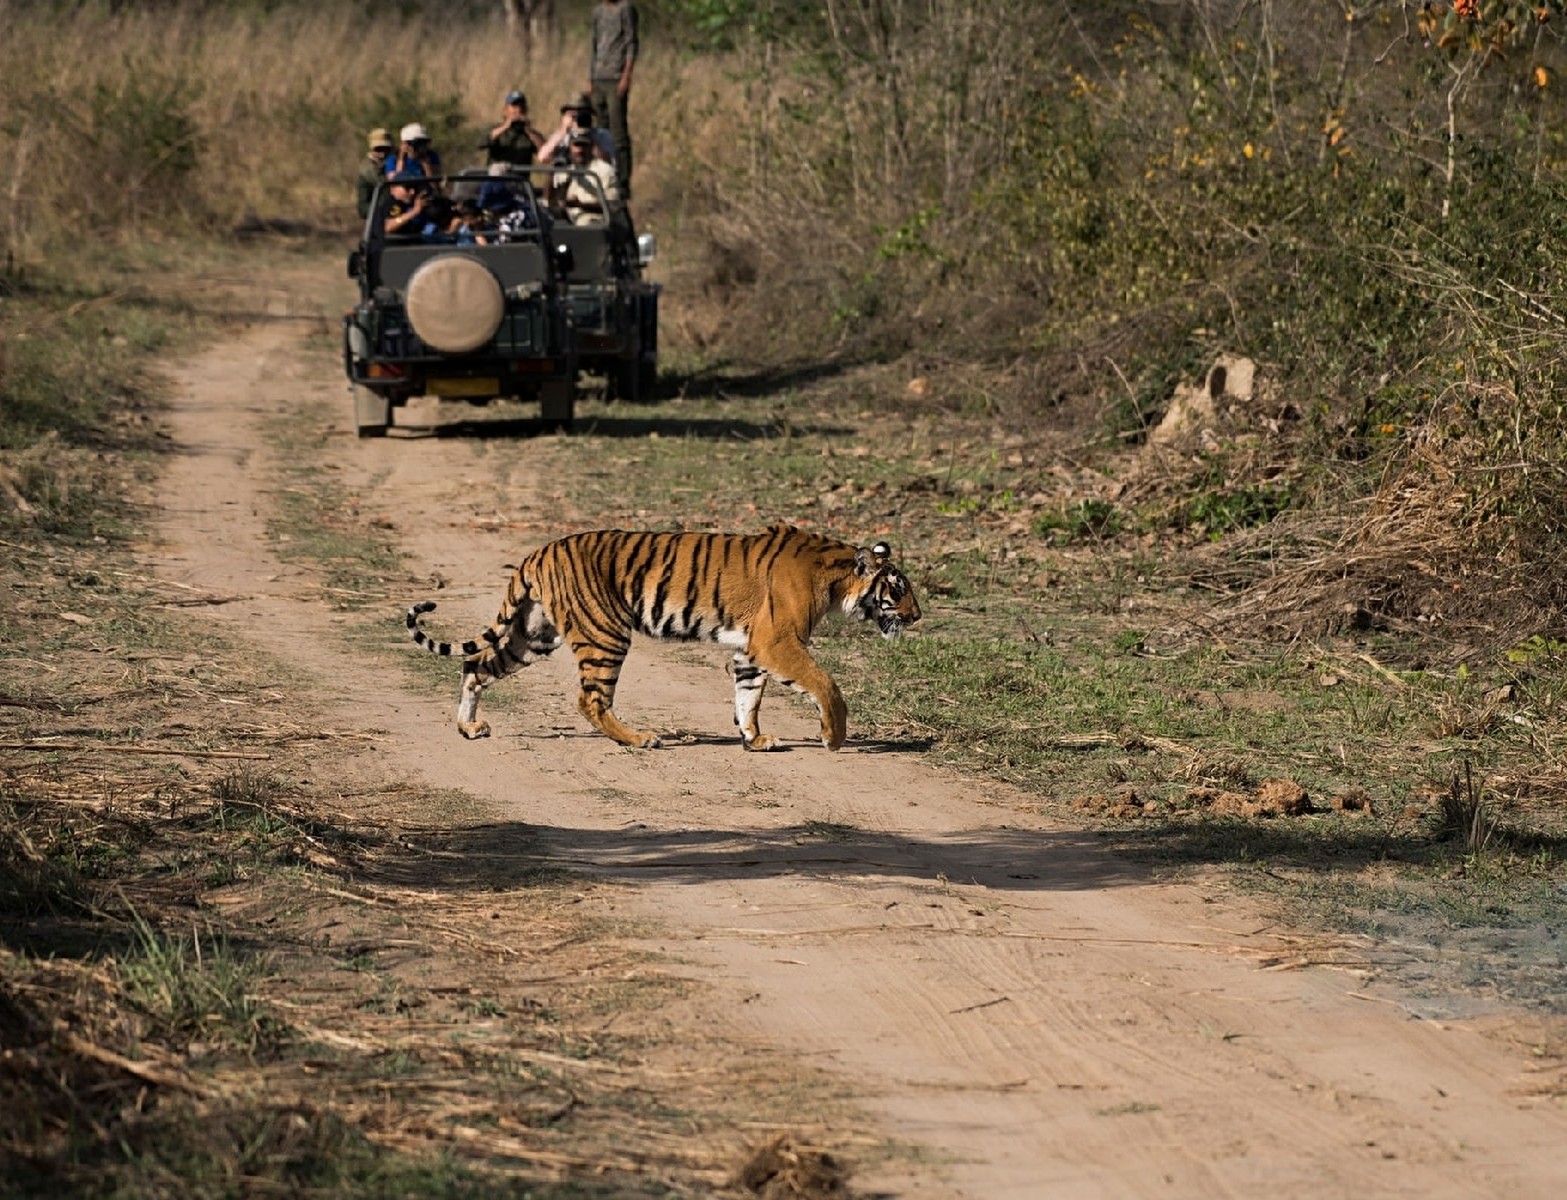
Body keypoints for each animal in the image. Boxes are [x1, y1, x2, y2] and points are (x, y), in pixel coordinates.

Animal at [406, 522, 921, 751]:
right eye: (898, 590)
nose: (917, 617)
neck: (834, 579)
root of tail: (538, 552)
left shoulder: (752, 648)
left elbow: (748, 696)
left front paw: (753, 739)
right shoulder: (779, 642)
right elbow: (825, 685)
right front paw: (834, 737)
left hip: (533, 636)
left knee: (475, 665)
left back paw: (470, 727)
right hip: (605, 633)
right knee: (590, 699)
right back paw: (639, 738)